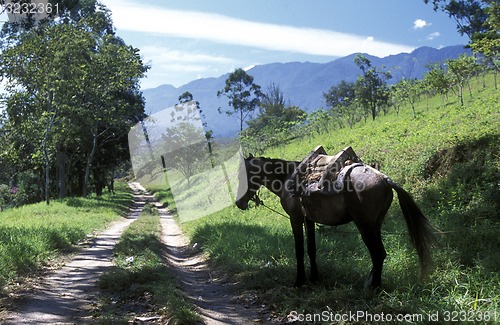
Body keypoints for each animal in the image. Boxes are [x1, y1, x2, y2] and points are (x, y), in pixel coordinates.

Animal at [236, 154, 436, 286]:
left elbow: (299, 250)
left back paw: (374, 287)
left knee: (378, 253)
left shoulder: (296, 219)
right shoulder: (309, 220)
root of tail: (384, 179)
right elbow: (311, 249)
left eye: (242, 176)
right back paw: (372, 282)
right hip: (375, 224)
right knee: (379, 253)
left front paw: (299, 281)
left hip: (364, 226)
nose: (239, 203)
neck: (287, 179)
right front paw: (314, 278)